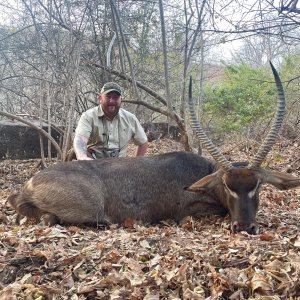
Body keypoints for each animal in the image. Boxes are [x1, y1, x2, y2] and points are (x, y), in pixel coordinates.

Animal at [7, 62, 300, 233]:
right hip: (91, 208)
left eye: (258, 185)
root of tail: (30, 182)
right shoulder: (188, 209)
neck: (204, 173)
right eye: (228, 186)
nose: (245, 227)